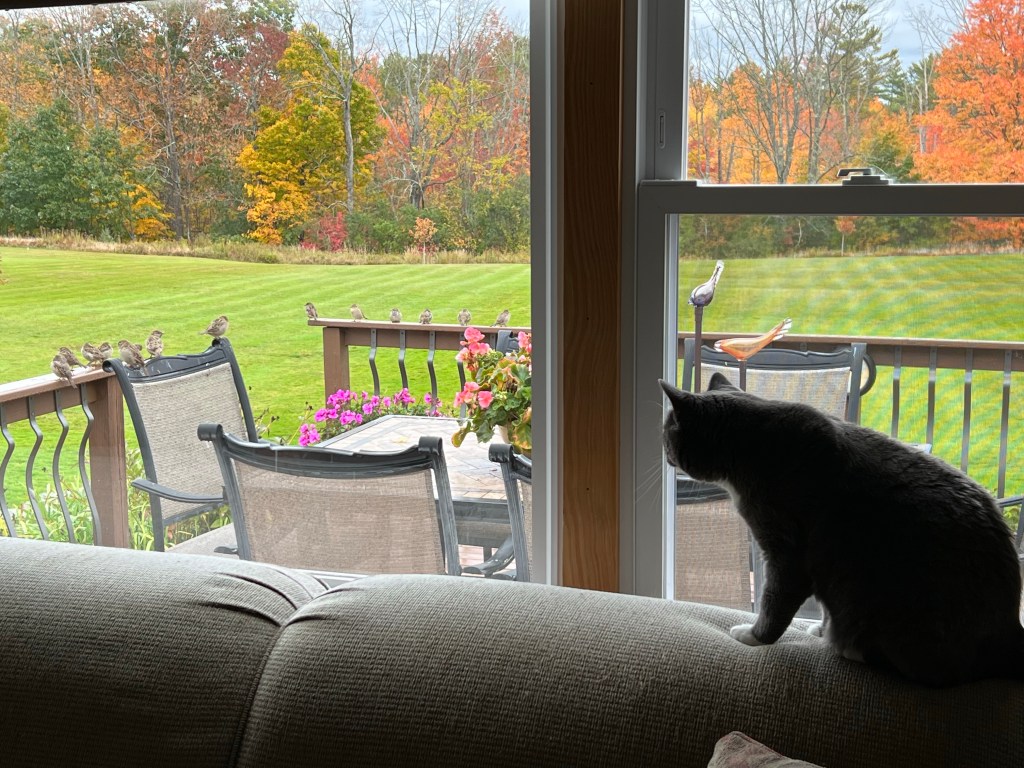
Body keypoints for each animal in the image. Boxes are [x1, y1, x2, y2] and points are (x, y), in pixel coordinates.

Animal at [660, 372, 1024, 687]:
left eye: (667, 431)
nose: (663, 452)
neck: (751, 447)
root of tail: (1010, 634)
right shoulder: (822, 562)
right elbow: (821, 605)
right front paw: (819, 630)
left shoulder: (786, 550)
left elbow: (774, 600)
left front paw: (753, 636)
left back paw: (848, 647)